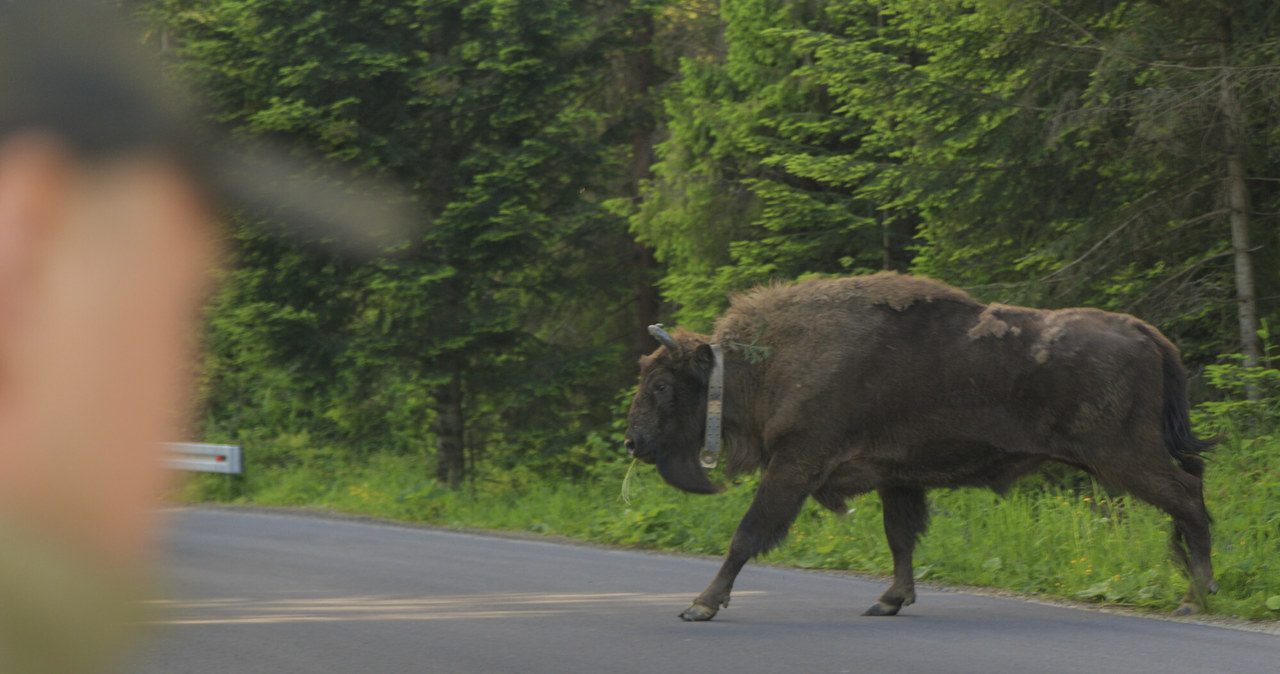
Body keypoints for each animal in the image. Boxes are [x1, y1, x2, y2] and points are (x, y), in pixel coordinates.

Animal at [624, 272, 1213, 621]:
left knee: (1189, 500)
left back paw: (1195, 598)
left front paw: (700, 606)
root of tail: (1144, 332)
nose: (633, 441)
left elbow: (747, 534)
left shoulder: (795, 465)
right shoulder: (897, 479)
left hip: (1125, 458)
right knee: (1189, 501)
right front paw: (890, 600)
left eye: (661, 385)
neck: (765, 361)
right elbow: (900, 539)